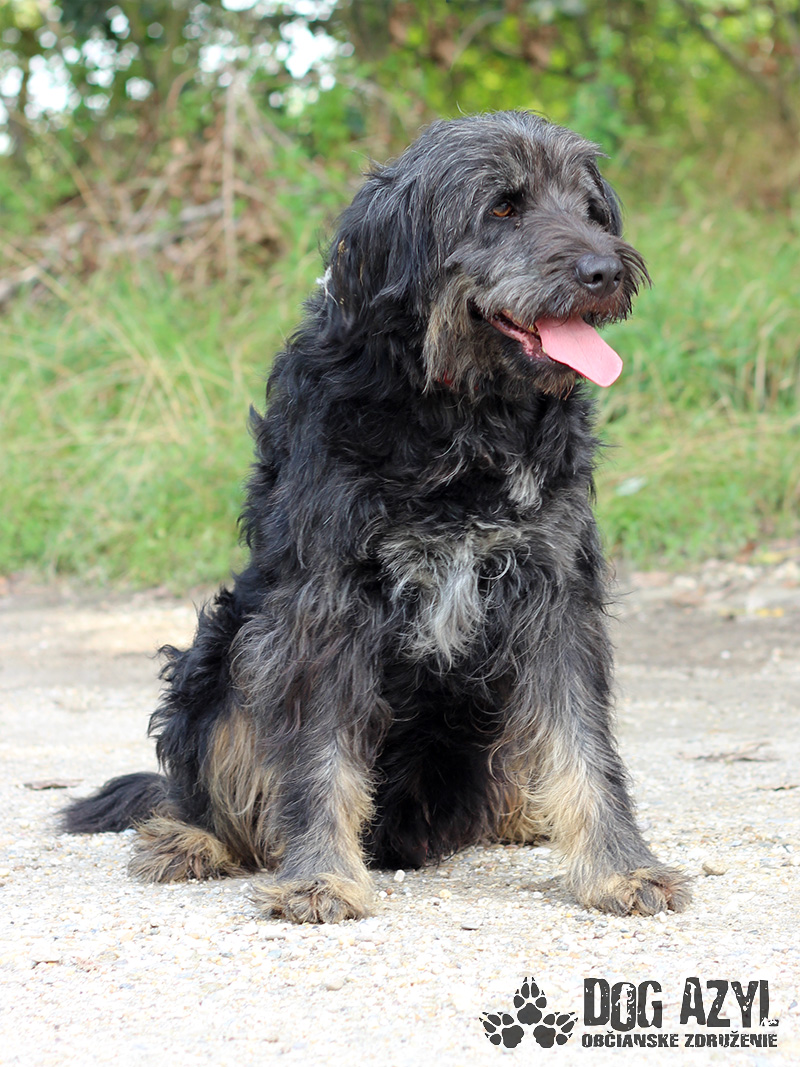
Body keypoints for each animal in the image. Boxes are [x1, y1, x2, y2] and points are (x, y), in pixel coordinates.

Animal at [63, 111, 691, 923]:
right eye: (503, 208)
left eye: (590, 211)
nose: (605, 272)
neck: (460, 419)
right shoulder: (325, 605)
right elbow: (318, 753)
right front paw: (321, 877)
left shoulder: (554, 595)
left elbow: (583, 744)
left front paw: (619, 867)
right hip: (226, 653)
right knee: (201, 790)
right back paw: (190, 838)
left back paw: (525, 815)